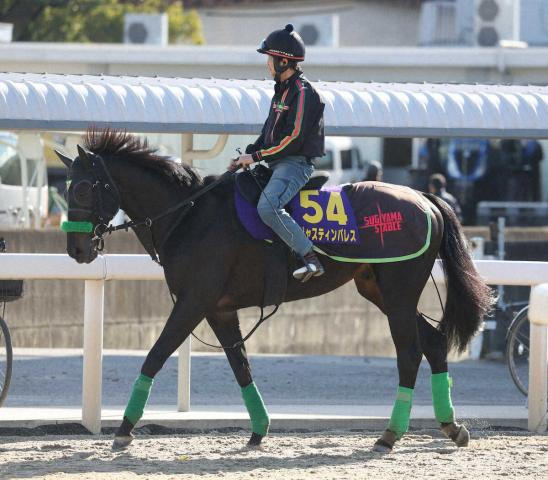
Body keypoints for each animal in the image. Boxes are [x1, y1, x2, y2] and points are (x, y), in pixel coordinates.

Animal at [57, 126, 494, 450]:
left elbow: (156, 355)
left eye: (81, 188)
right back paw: (451, 426)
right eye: (65, 187)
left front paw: (124, 429)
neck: (190, 214)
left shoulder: (193, 301)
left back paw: (390, 435)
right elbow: (240, 365)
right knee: (433, 342)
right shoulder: (217, 308)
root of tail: (423, 198)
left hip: (400, 291)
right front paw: (258, 429)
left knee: (409, 353)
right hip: (380, 291)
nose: (77, 249)